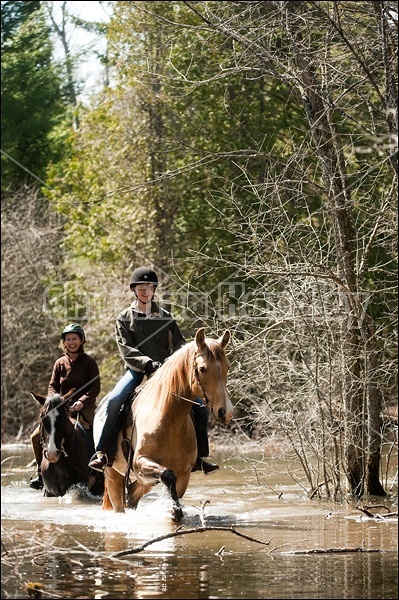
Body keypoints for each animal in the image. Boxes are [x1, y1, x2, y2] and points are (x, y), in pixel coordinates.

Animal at [94, 328, 234, 520]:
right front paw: (174, 509)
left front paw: (175, 512)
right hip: (113, 475)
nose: (226, 412)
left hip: (143, 482)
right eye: (202, 369)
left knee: (133, 494)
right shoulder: (140, 462)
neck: (168, 421)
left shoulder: (184, 475)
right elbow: (167, 475)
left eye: (227, 367)